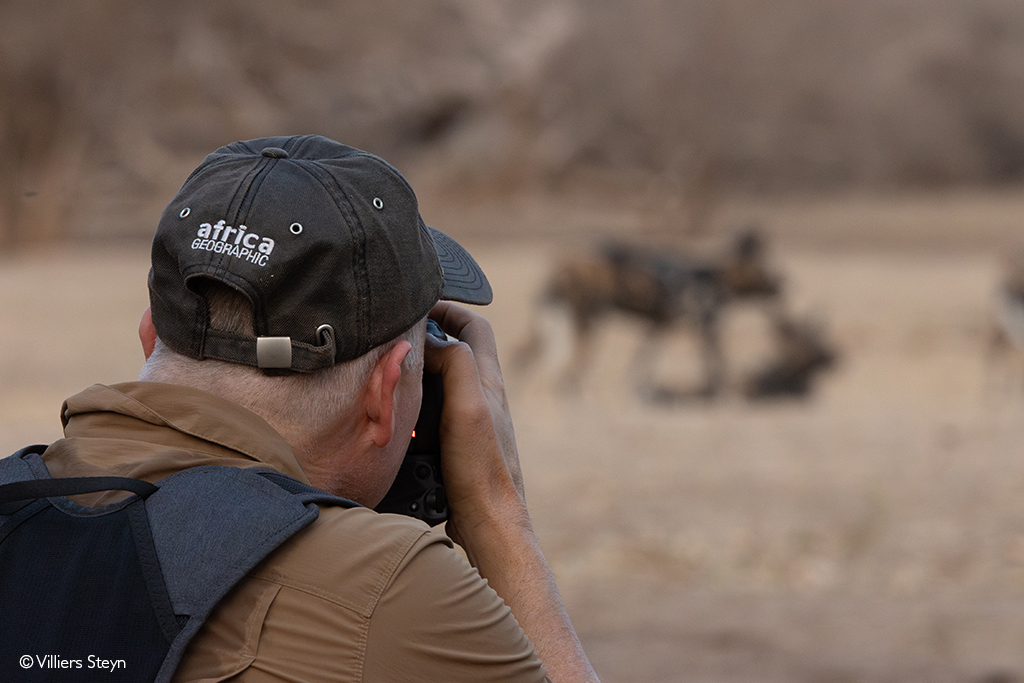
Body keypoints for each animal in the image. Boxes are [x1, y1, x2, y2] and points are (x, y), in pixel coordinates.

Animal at [516, 229, 778, 401]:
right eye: (763, 270)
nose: (783, 282)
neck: (712, 276)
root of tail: (562, 266)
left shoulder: (659, 326)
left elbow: (642, 366)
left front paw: (641, 395)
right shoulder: (703, 331)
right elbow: (717, 367)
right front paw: (727, 398)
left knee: (529, 362)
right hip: (589, 325)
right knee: (568, 375)